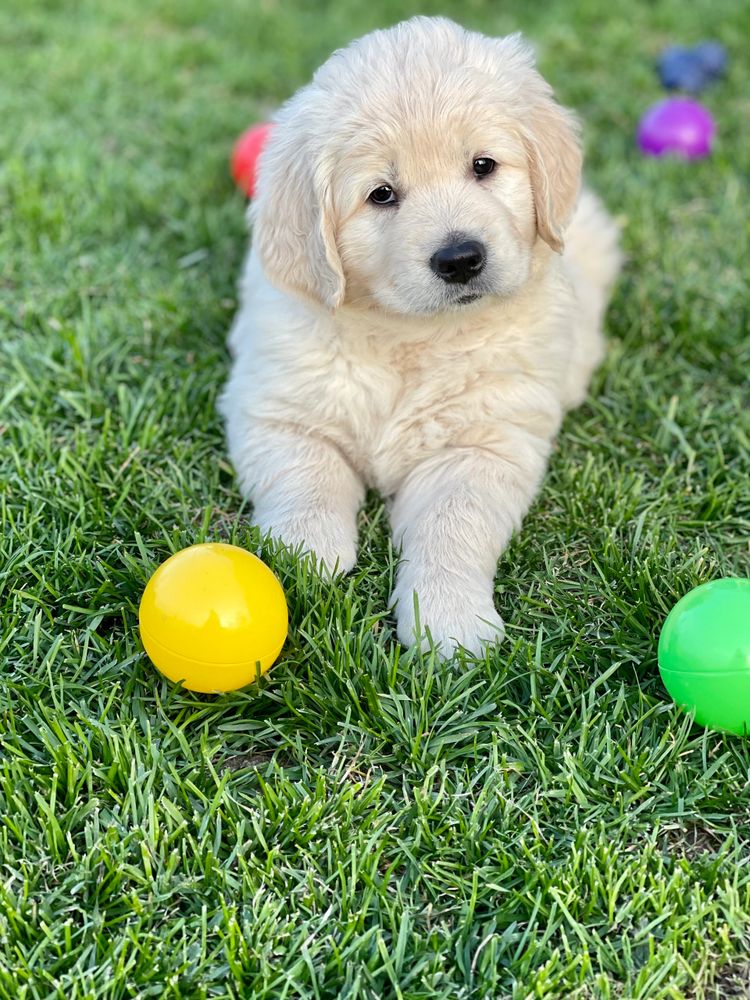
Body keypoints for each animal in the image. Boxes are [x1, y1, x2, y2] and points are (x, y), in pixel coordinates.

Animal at [222, 17, 624, 656]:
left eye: (483, 166)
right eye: (381, 194)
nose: (460, 258)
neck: (408, 338)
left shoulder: (481, 445)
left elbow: (453, 525)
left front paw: (450, 620)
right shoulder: (276, 411)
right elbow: (306, 477)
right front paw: (304, 557)